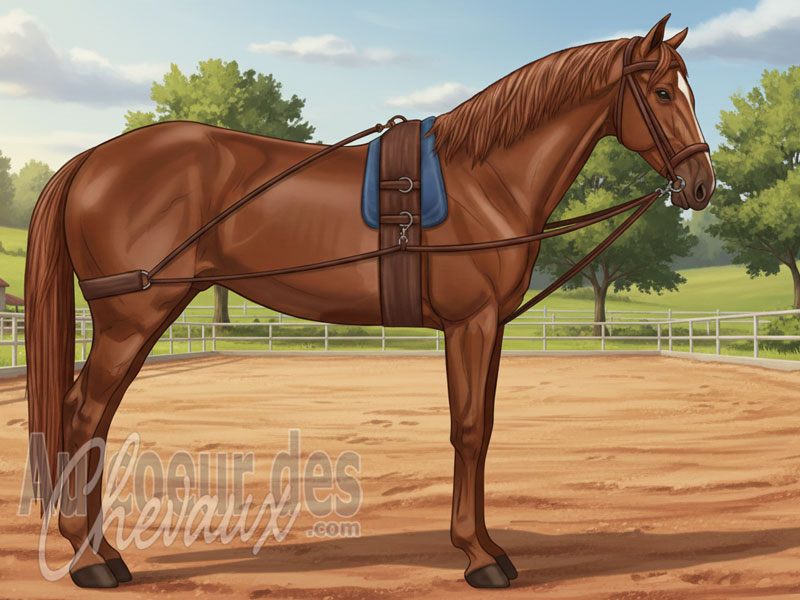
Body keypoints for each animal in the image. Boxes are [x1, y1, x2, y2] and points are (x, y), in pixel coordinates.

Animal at [25, 14, 715, 589]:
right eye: (661, 94)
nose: (701, 184)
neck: (484, 180)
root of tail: (92, 159)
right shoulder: (469, 324)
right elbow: (469, 430)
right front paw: (480, 556)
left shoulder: (487, 326)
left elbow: (484, 427)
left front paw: (487, 545)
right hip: (131, 318)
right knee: (84, 415)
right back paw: (89, 559)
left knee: (91, 419)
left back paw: (101, 551)